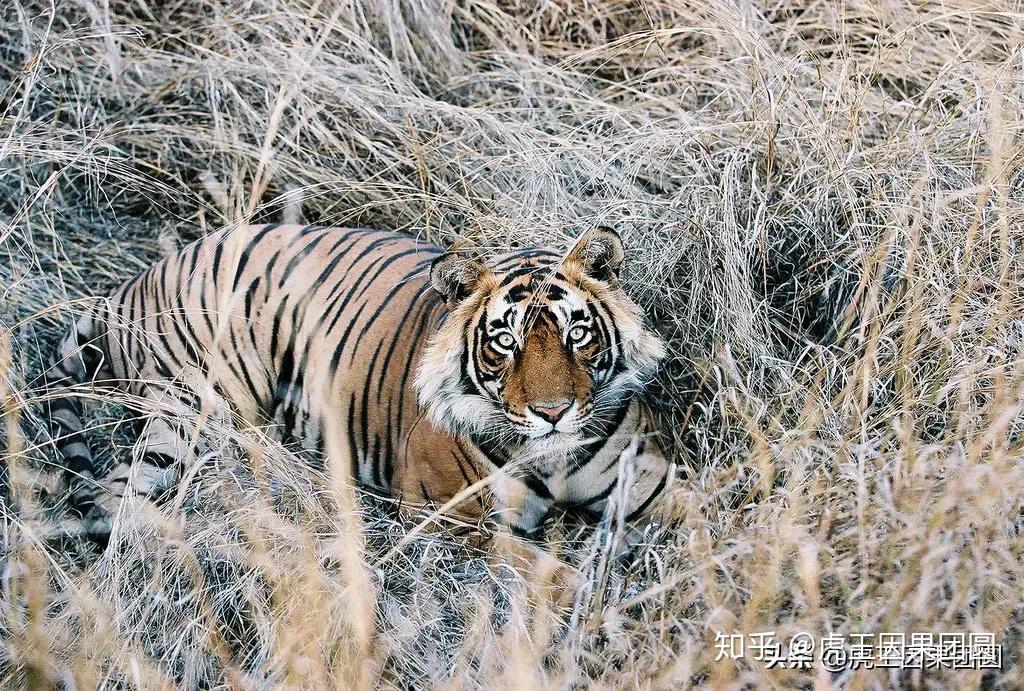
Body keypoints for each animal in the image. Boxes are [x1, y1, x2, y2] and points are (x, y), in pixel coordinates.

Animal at [39, 224, 671, 544]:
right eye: (504, 342)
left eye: (576, 334)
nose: (553, 412)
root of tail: (130, 285)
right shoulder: (449, 517)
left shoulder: (652, 489)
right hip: (191, 415)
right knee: (105, 504)